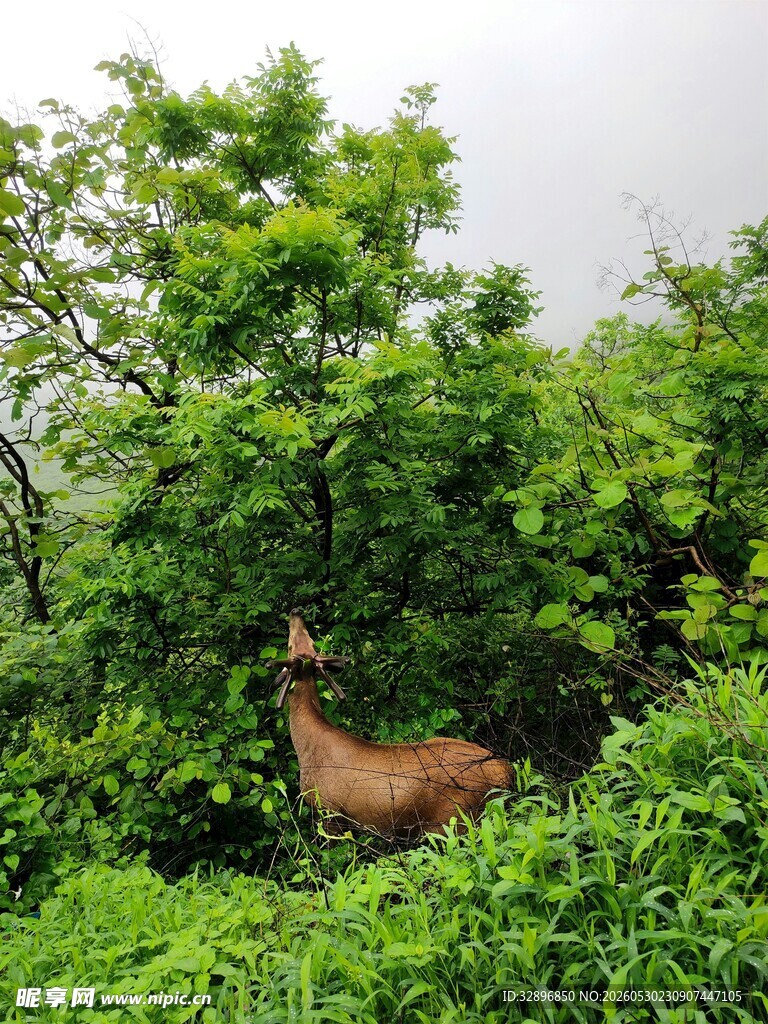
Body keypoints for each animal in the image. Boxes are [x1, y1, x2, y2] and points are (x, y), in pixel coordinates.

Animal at [267, 610, 510, 839]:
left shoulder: (330, 811)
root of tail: (507, 773)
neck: (306, 746)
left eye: (290, 645)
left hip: (455, 820)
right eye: (309, 641)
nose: (296, 611)